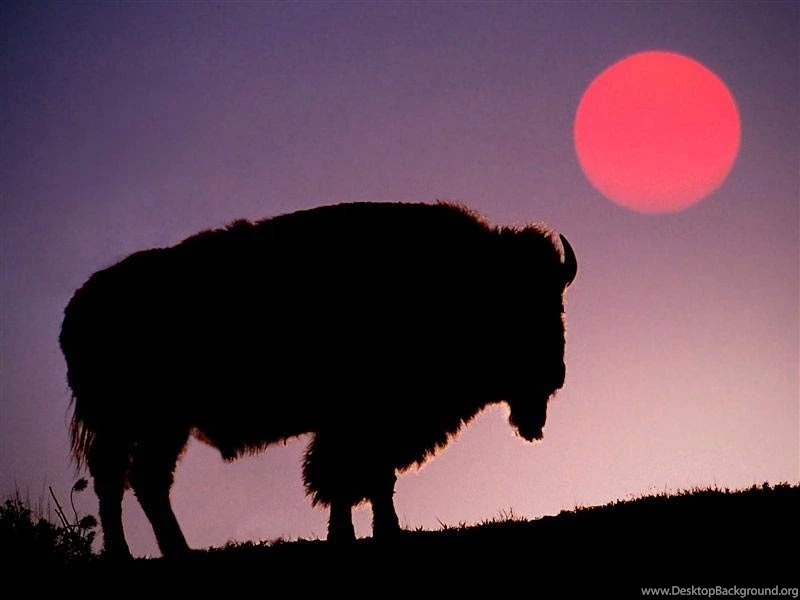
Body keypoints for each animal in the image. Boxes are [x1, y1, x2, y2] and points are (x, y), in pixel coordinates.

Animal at [59, 201, 577, 558]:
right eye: (520, 303)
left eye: (556, 301)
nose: (556, 375)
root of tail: (79, 306)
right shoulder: (359, 423)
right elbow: (351, 476)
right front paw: (370, 533)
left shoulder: (361, 426)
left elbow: (360, 479)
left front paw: (363, 532)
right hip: (137, 422)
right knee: (121, 480)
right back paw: (135, 553)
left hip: (163, 426)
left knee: (143, 480)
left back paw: (175, 551)